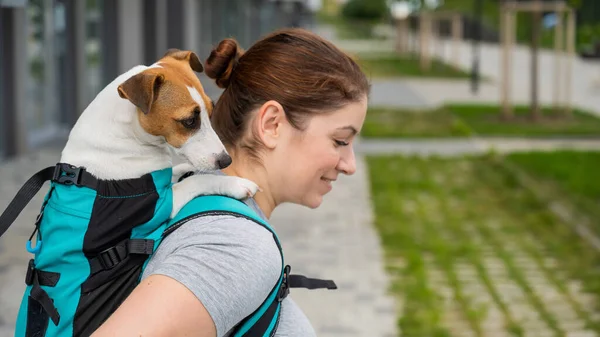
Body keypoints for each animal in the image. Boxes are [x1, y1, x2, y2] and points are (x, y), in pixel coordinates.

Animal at [59, 48, 258, 215]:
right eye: (189, 121)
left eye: (210, 112)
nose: (226, 161)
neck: (129, 134)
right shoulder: (160, 206)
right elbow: (197, 181)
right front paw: (236, 183)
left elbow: (178, 171)